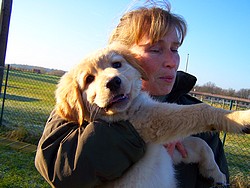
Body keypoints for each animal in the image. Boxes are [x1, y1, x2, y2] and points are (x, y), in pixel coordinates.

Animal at [55, 44, 250, 188]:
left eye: (117, 64)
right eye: (89, 79)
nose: (114, 82)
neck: (126, 112)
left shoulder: (167, 150)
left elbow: (200, 144)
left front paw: (214, 173)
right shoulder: (150, 121)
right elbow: (200, 109)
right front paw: (240, 117)